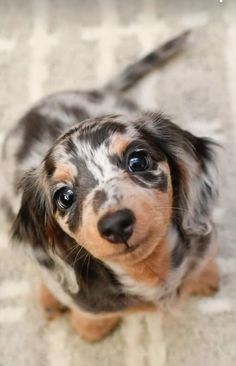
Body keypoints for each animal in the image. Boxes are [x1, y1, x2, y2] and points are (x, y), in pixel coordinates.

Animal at [1, 30, 219, 340]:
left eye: (138, 160)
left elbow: (202, 261)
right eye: (64, 196)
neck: (147, 271)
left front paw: (205, 276)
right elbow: (86, 314)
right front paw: (91, 327)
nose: (116, 224)